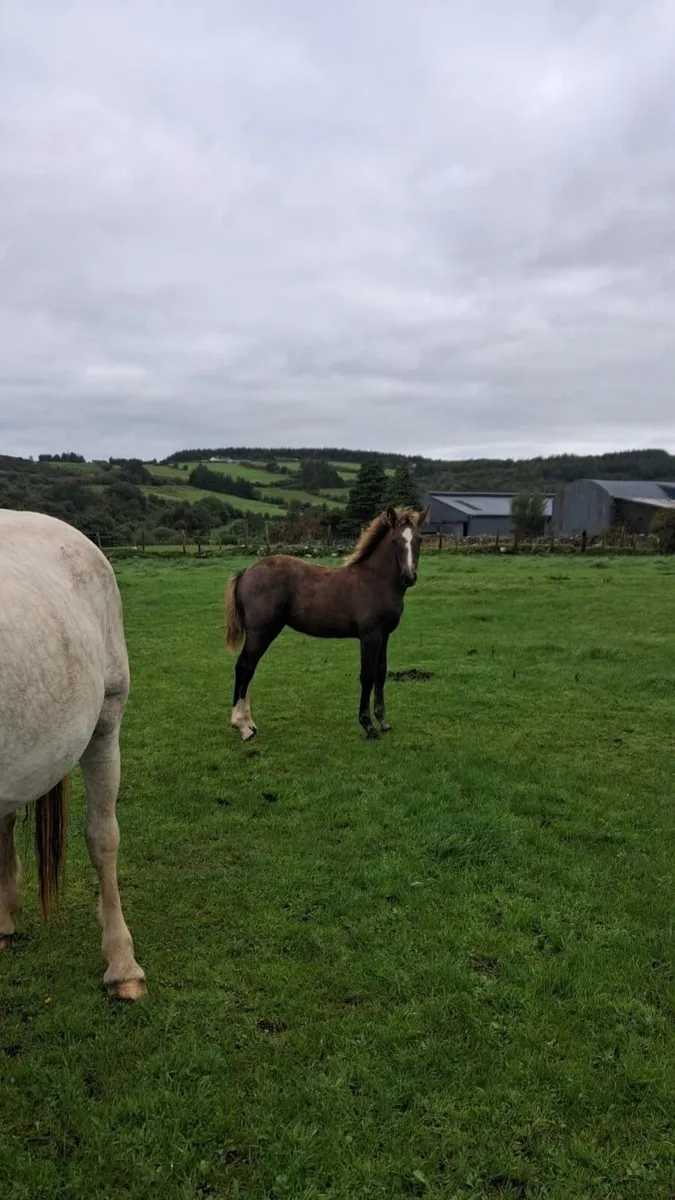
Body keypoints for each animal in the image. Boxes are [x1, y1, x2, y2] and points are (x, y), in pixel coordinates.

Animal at [224, 504, 429, 740]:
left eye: (419, 539)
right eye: (395, 540)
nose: (409, 577)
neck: (374, 581)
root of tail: (247, 572)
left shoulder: (384, 636)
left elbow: (381, 673)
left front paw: (383, 721)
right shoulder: (370, 637)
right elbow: (367, 676)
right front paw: (368, 726)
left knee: (249, 670)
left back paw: (249, 724)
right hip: (261, 632)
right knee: (244, 667)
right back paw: (243, 726)